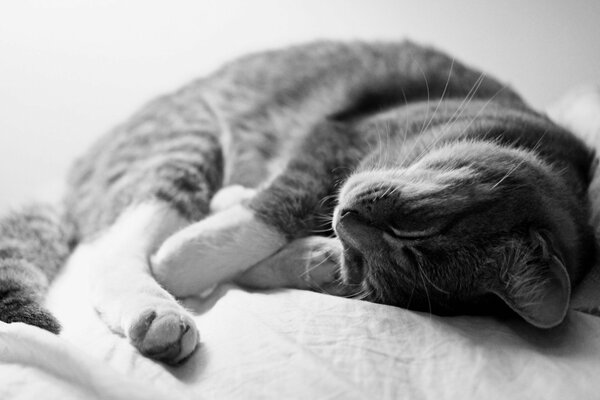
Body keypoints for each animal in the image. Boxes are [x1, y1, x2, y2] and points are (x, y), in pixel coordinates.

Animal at [0, 41, 596, 366]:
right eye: (417, 226)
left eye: (367, 266)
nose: (348, 219)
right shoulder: (336, 138)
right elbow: (277, 203)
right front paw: (186, 257)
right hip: (185, 140)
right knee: (110, 254)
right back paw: (160, 312)